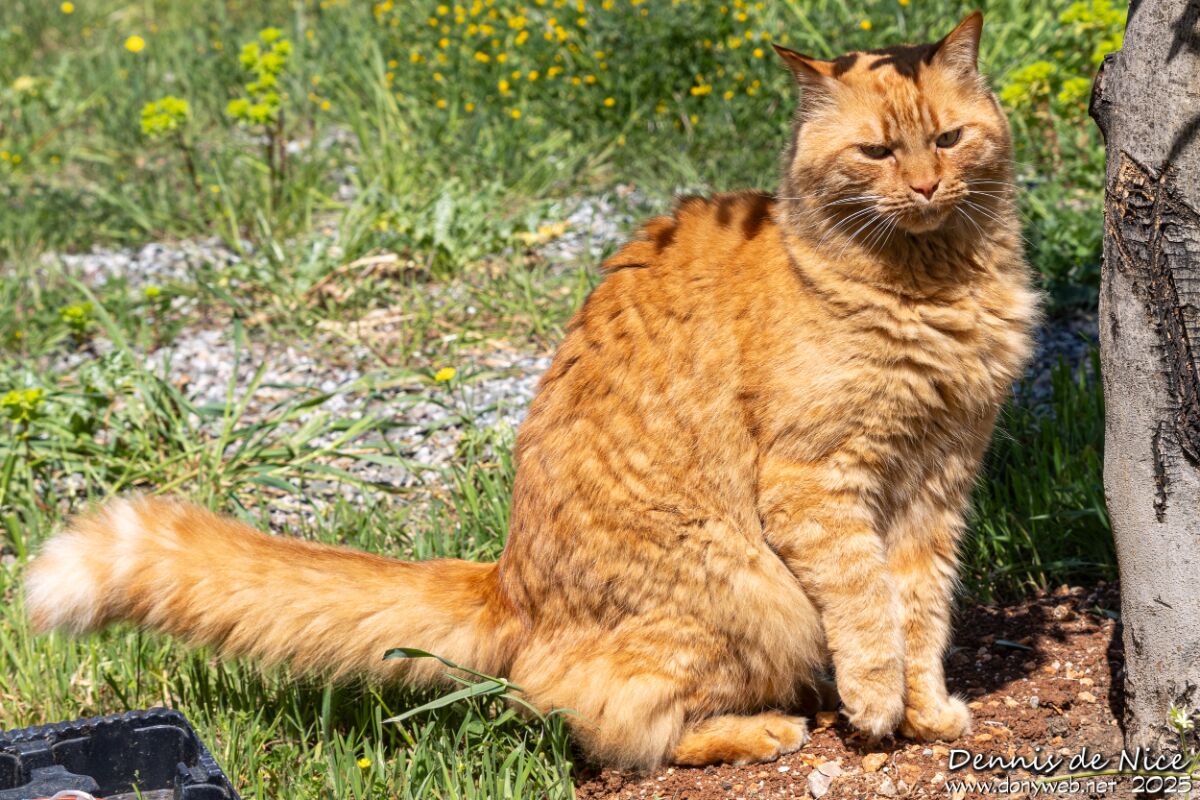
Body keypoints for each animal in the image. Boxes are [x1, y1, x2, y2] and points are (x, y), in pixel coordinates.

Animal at [25, 11, 1036, 771]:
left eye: (948, 139)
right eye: (876, 151)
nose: (926, 184)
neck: (924, 290)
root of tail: (506, 583)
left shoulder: (940, 482)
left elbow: (921, 614)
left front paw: (928, 713)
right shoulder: (820, 484)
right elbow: (869, 612)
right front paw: (876, 707)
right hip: (754, 594)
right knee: (615, 725)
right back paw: (763, 728)